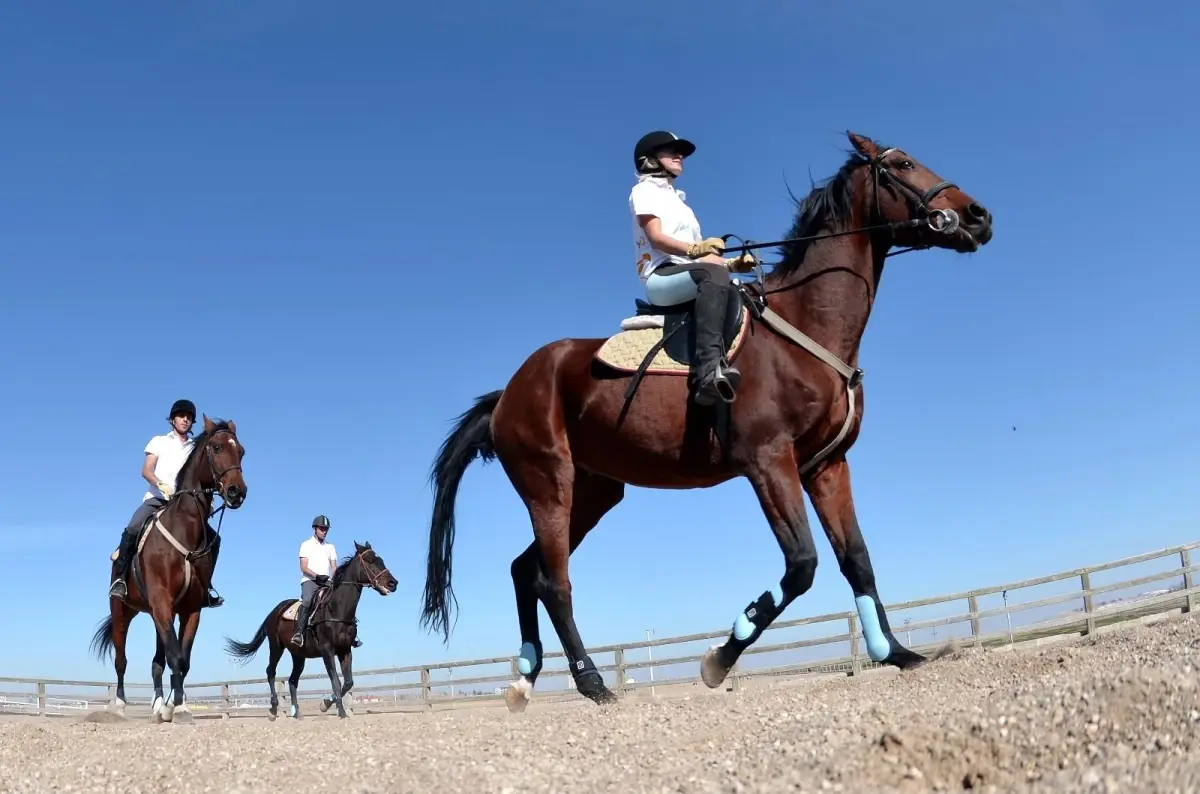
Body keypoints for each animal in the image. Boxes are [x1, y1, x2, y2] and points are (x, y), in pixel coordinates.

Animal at [90, 417, 248, 729]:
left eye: (242, 452)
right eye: (217, 447)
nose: (237, 492)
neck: (185, 529)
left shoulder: (189, 609)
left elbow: (182, 660)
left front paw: (177, 706)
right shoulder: (162, 601)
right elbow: (175, 657)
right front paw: (175, 708)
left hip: (157, 615)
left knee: (156, 661)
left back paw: (157, 704)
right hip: (122, 611)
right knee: (121, 660)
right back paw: (120, 706)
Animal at [220, 542, 398, 719]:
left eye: (381, 560)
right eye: (369, 561)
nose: (393, 583)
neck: (336, 609)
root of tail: (274, 611)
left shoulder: (345, 650)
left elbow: (348, 682)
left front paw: (325, 704)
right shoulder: (327, 650)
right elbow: (336, 680)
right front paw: (340, 711)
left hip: (298, 655)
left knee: (292, 680)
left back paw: (296, 713)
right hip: (276, 647)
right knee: (271, 671)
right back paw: (273, 710)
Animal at [417, 131, 998, 714]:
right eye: (903, 164)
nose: (979, 216)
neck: (805, 327)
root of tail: (508, 393)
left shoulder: (827, 465)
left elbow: (857, 559)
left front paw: (894, 652)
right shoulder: (769, 462)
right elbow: (802, 564)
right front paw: (721, 657)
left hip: (594, 492)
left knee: (526, 569)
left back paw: (524, 678)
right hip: (549, 487)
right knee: (555, 582)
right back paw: (592, 682)